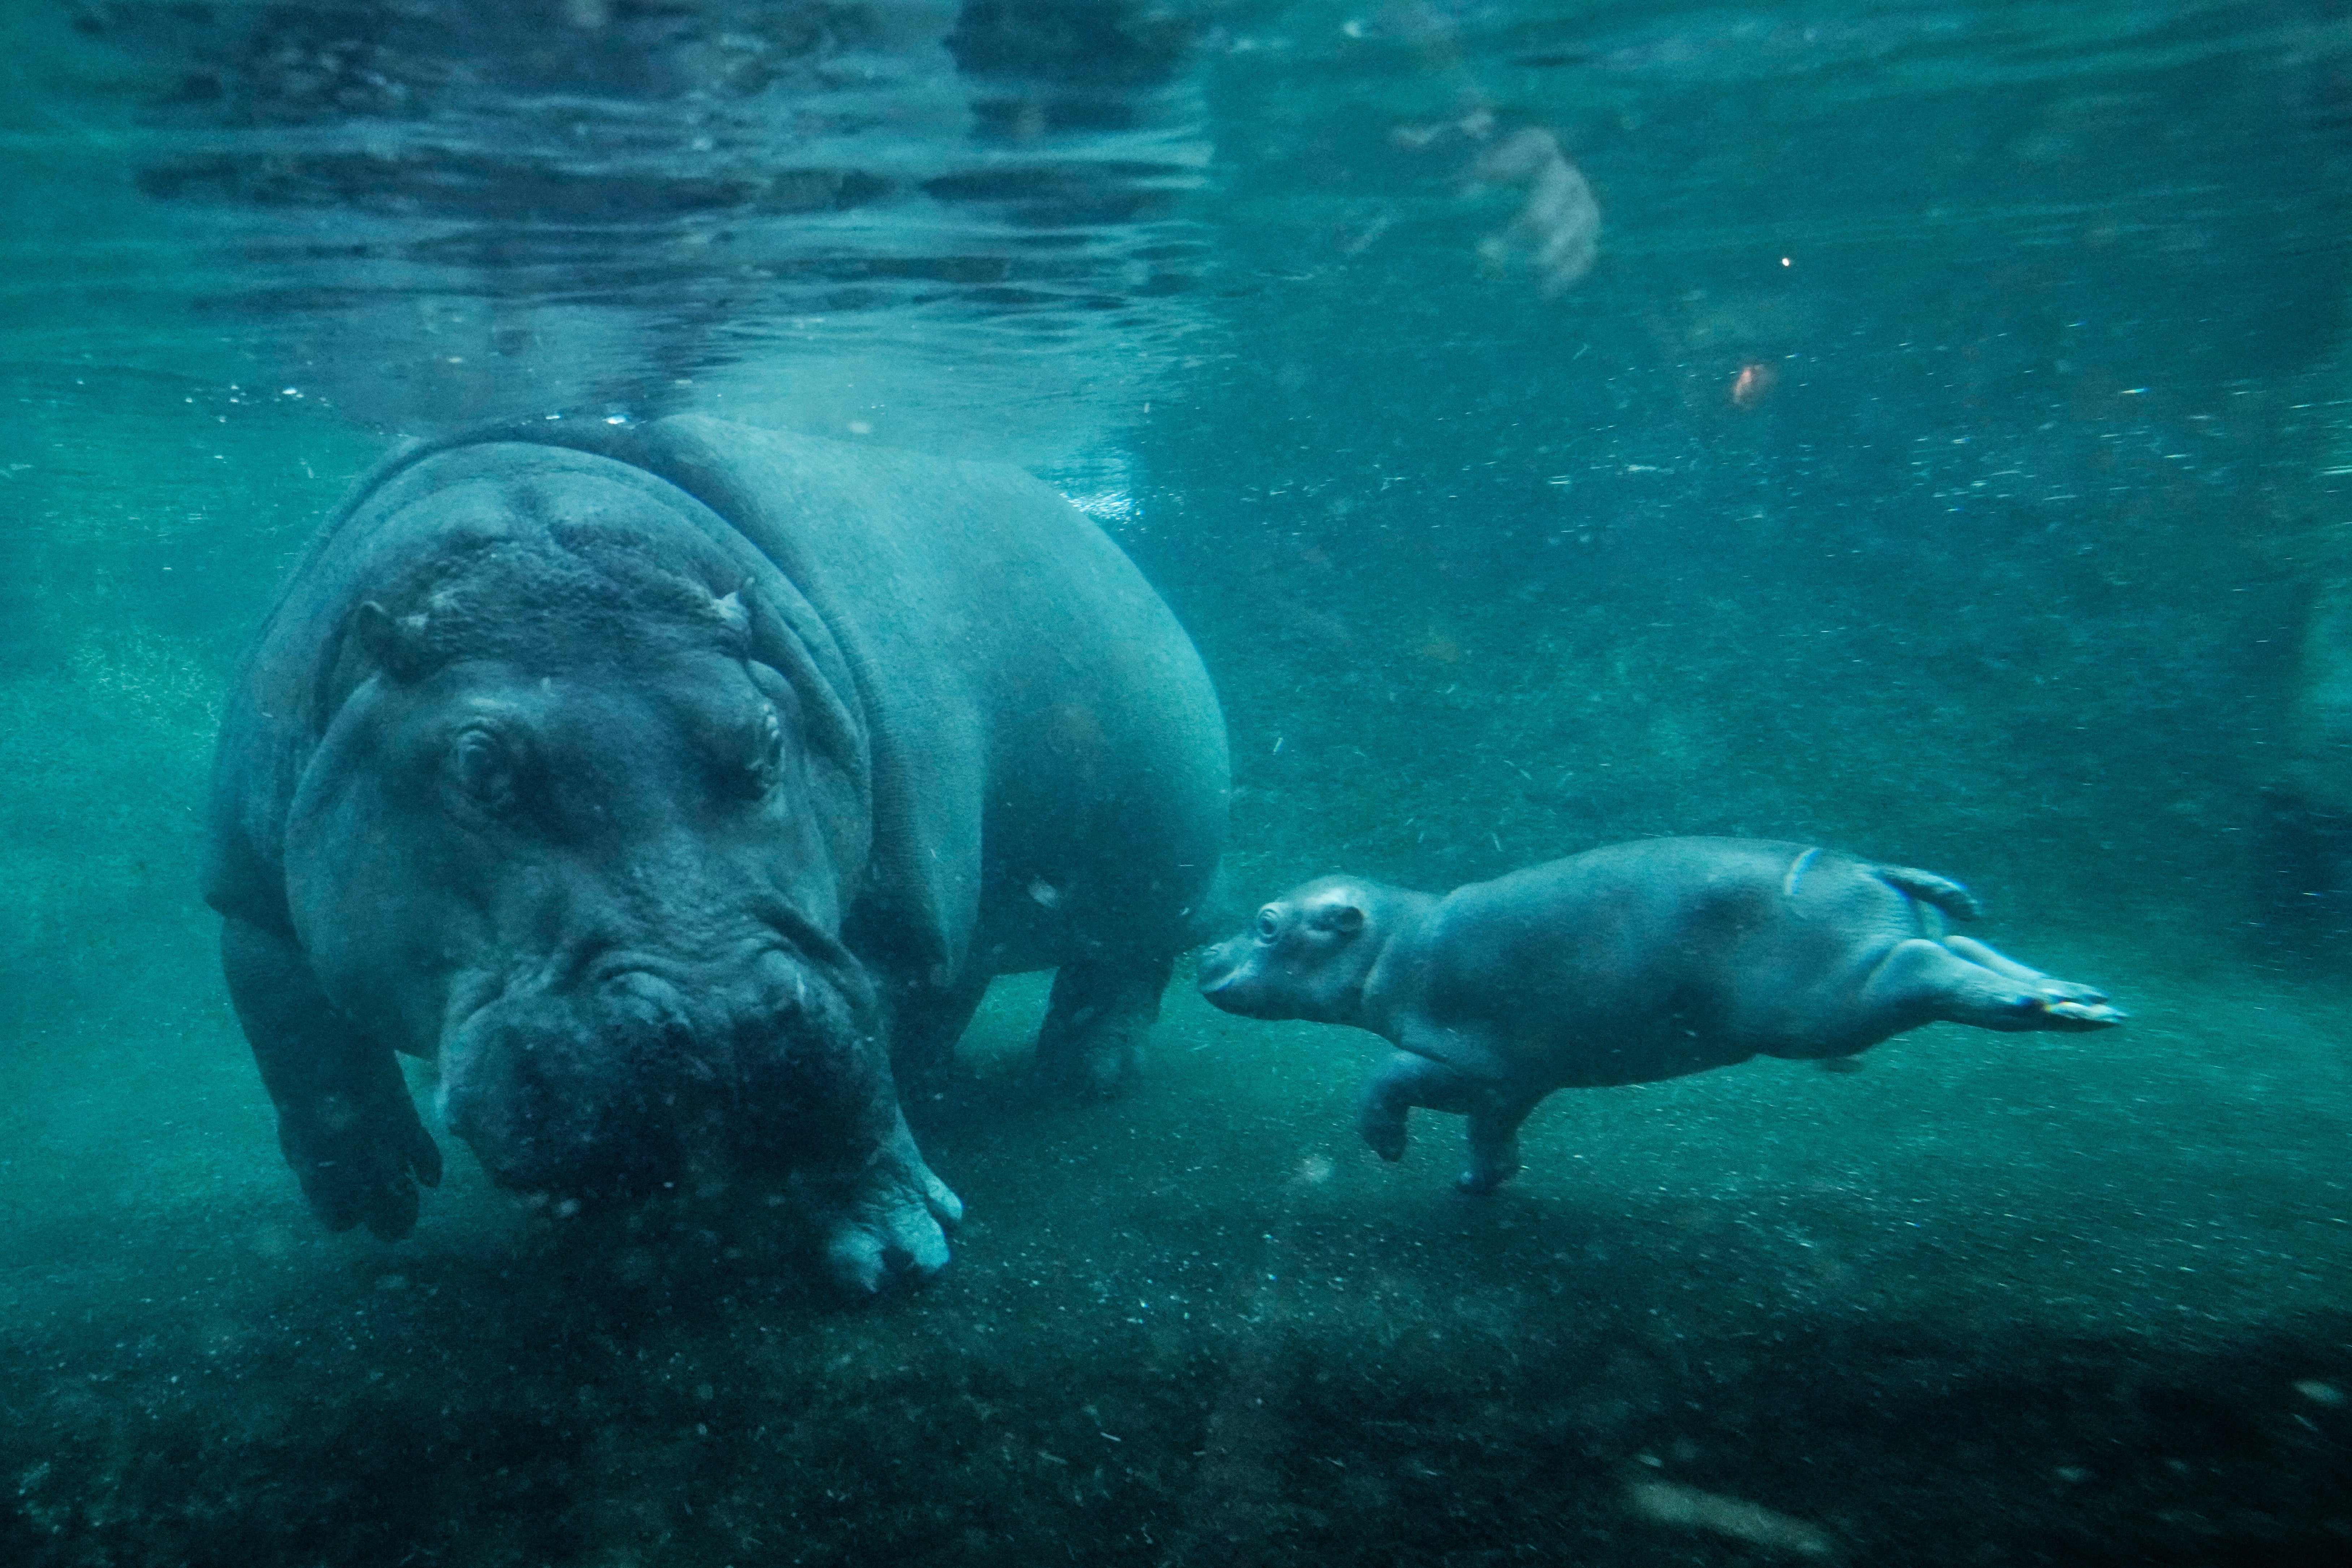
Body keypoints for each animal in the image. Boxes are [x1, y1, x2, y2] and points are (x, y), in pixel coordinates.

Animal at [205, 414, 1227, 1292]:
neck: (533, 556)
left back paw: (1083, 1076)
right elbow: (289, 1023)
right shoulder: (246, 890)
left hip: (1159, 856)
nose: (726, 1020)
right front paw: (370, 1195)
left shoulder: (886, 925)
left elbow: (861, 1065)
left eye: (769, 738)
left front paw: (893, 1251)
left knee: (1123, 963)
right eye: (478, 763)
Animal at [1196, 838, 2122, 1193]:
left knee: (1924, 966)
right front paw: (1479, 1182)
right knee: (1964, 943)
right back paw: (2076, 998)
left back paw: (2052, 1003)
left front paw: (1386, 1148)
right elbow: (1491, 1130)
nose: (1201, 953)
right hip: (1879, 948)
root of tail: (1866, 866)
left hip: (1831, 1001)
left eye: (1267, 922)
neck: (1393, 934)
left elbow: (1386, 1077)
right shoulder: (1519, 1074)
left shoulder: (1464, 1053)